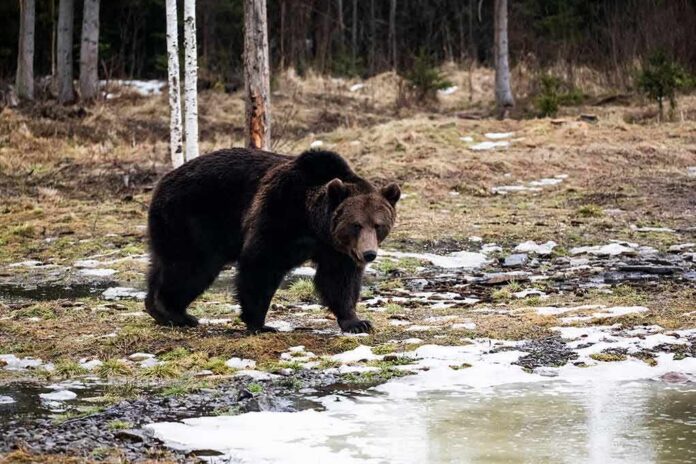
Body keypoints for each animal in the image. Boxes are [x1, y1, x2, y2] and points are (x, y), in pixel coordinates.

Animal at [145, 148, 400, 334]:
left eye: (378, 225)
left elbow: (339, 279)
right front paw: (260, 323)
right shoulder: (278, 213)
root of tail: (162, 181)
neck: (312, 220)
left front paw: (357, 322)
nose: (368, 254)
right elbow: (261, 264)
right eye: (356, 225)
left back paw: (158, 309)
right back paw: (175, 313)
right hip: (193, 218)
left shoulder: (335, 247)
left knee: (162, 265)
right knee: (192, 266)